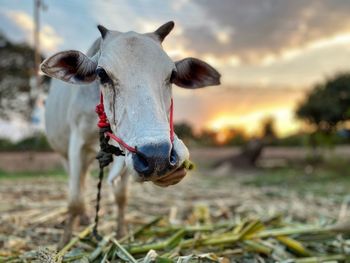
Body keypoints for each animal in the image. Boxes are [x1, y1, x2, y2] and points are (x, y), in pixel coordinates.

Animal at [41, 22, 220, 245]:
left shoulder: (127, 155)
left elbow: (121, 196)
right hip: (64, 154)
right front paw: (65, 242)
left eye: (172, 75)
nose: (158, 157)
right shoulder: (77, 144)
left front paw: (121, 234)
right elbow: (74, 199)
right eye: (102, 74)